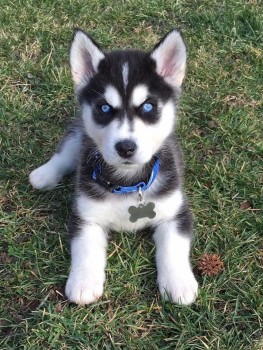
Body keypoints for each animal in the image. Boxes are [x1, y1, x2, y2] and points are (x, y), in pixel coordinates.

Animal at [29, 28, 198, 304]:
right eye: (105, 107)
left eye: (148, 106)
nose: (125, 147)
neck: (128, 182)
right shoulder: (86, 215)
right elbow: (85, 248)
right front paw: (83, 282)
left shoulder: (175, 211)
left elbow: (173, 246)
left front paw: (179, 282)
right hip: (80, 134)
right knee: (67, 150)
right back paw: (44, 174)